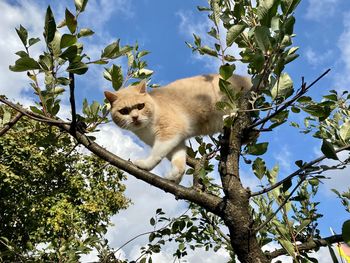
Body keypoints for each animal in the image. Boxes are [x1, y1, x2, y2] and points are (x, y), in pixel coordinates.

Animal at [104, 74, 252, 185]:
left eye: (140, 106)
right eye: (124, 111)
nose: (135, 117)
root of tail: (244, 77)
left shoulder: (169, 133)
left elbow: (156, 154)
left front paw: (145, 164)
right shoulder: (177, 141)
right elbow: (179, 159)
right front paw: (175, 176)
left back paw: (231, 115)